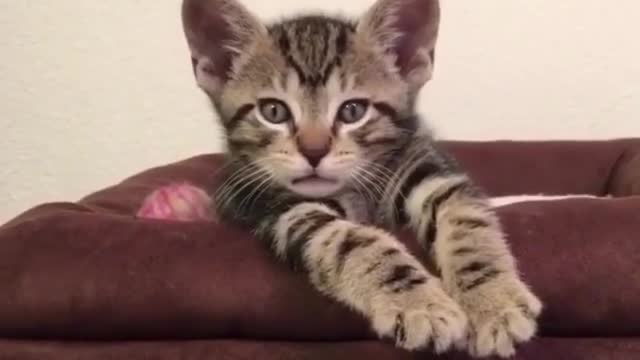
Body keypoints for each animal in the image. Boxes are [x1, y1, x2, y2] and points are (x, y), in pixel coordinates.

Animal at [146, 0, 544, 354]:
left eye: (353, 111)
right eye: (273, 111)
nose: (314, 151)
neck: (355, 193)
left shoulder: (427, 168)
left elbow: (465, 218)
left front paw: (491, 302)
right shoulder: (277, 206)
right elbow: (349, 240)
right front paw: (419, 303)